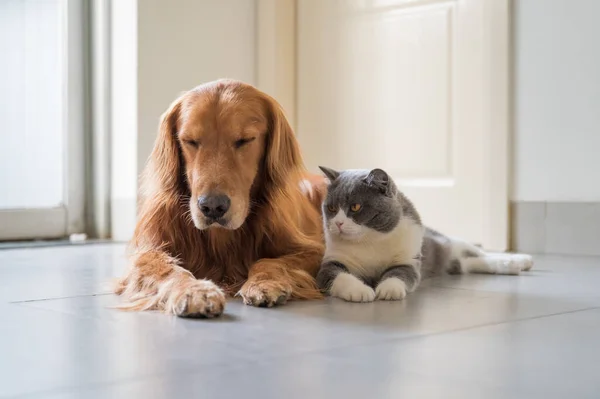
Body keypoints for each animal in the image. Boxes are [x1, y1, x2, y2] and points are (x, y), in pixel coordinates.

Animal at [114, 79, 326, 318]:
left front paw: (264, 283)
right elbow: (166, 268)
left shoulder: (312, 249)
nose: (213, 207)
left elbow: (269, 262)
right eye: (190, 141)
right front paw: (193, 290)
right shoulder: (147, 251)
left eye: (244, 140)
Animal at [316, 166, 532, 304]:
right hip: (455, 261)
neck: (370, 240)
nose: (338, 223)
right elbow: (338, 276)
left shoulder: (409, 260)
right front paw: (359, 291)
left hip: (450, 242)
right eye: (332, 208)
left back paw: (520, 260)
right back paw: (514, 266)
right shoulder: (330, 263)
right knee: (470, 263)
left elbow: (400, 274)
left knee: (481, 253)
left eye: (355, 207)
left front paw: (388, 289)